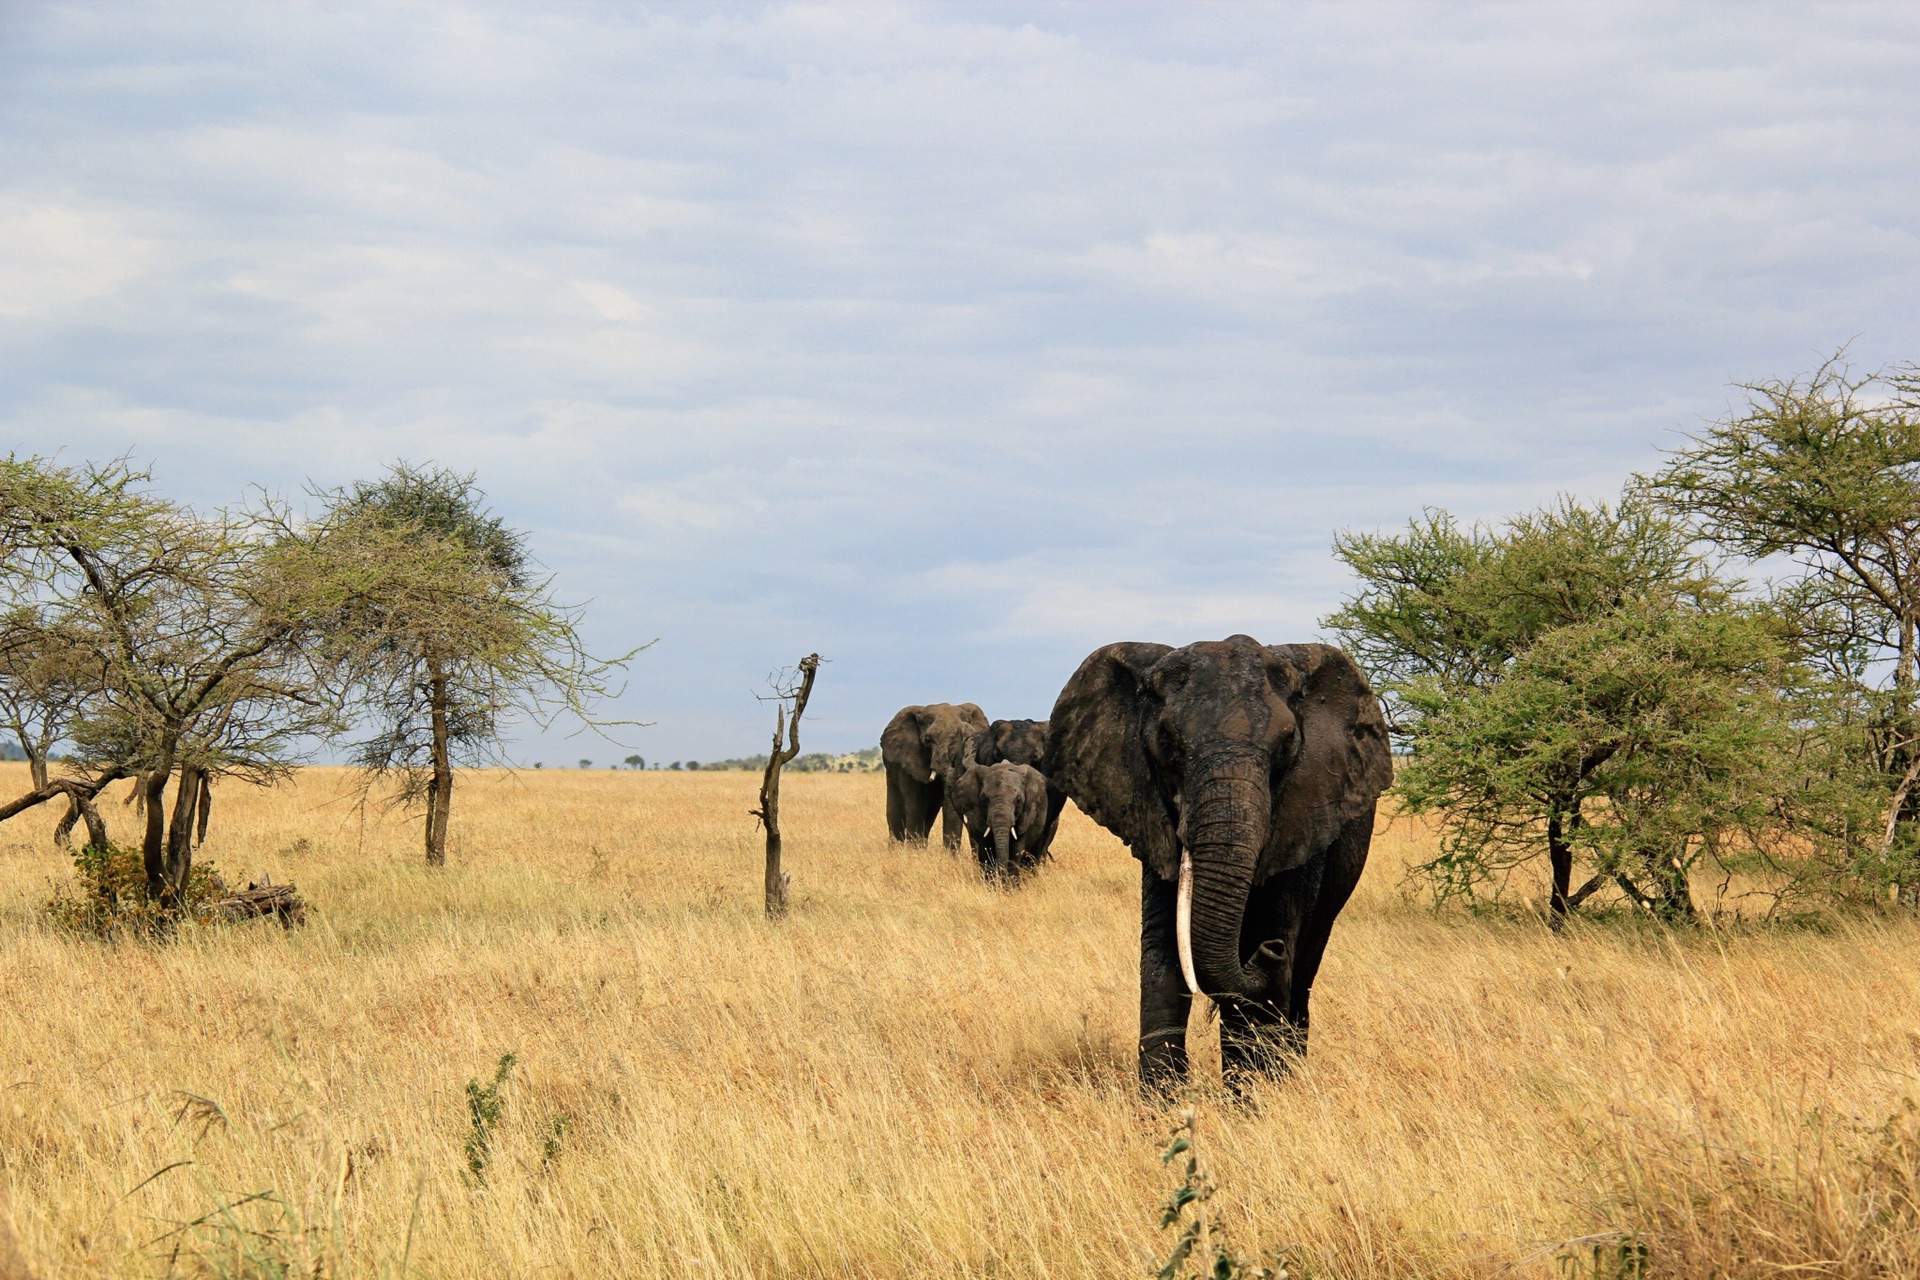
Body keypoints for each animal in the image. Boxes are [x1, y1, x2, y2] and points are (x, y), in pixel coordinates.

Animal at [879, 702, 983, 852]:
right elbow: (915, 802)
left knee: (929, 815)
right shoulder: (909, 758)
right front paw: (915, 853)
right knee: (896, 812)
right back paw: (896, 851)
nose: (950, 854)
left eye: (967, 739)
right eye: (928, 740)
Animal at [1044, 637, 1390, 1090]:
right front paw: (1163, 1102)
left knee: (1305, 966)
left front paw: (1256, 1099)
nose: (1270, 952)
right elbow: (1164, 945)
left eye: (1287, 745)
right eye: (1168, 742)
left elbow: (1273, 940)